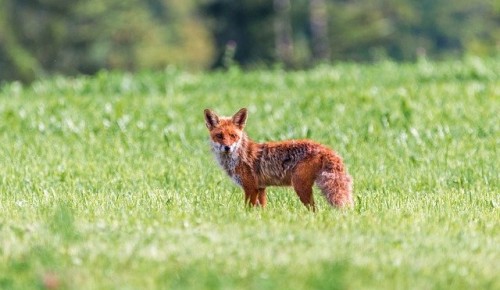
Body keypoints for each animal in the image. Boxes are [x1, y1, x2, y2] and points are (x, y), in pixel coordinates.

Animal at [203, 107, 352, 210]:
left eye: (233, 136)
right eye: (219, 136)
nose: (227, 147)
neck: (238, 156)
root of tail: (323, 147)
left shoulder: (250, 188)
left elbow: (248, 209)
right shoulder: (261, 188)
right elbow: (262, 209)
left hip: (300, 186)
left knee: (315, 210)